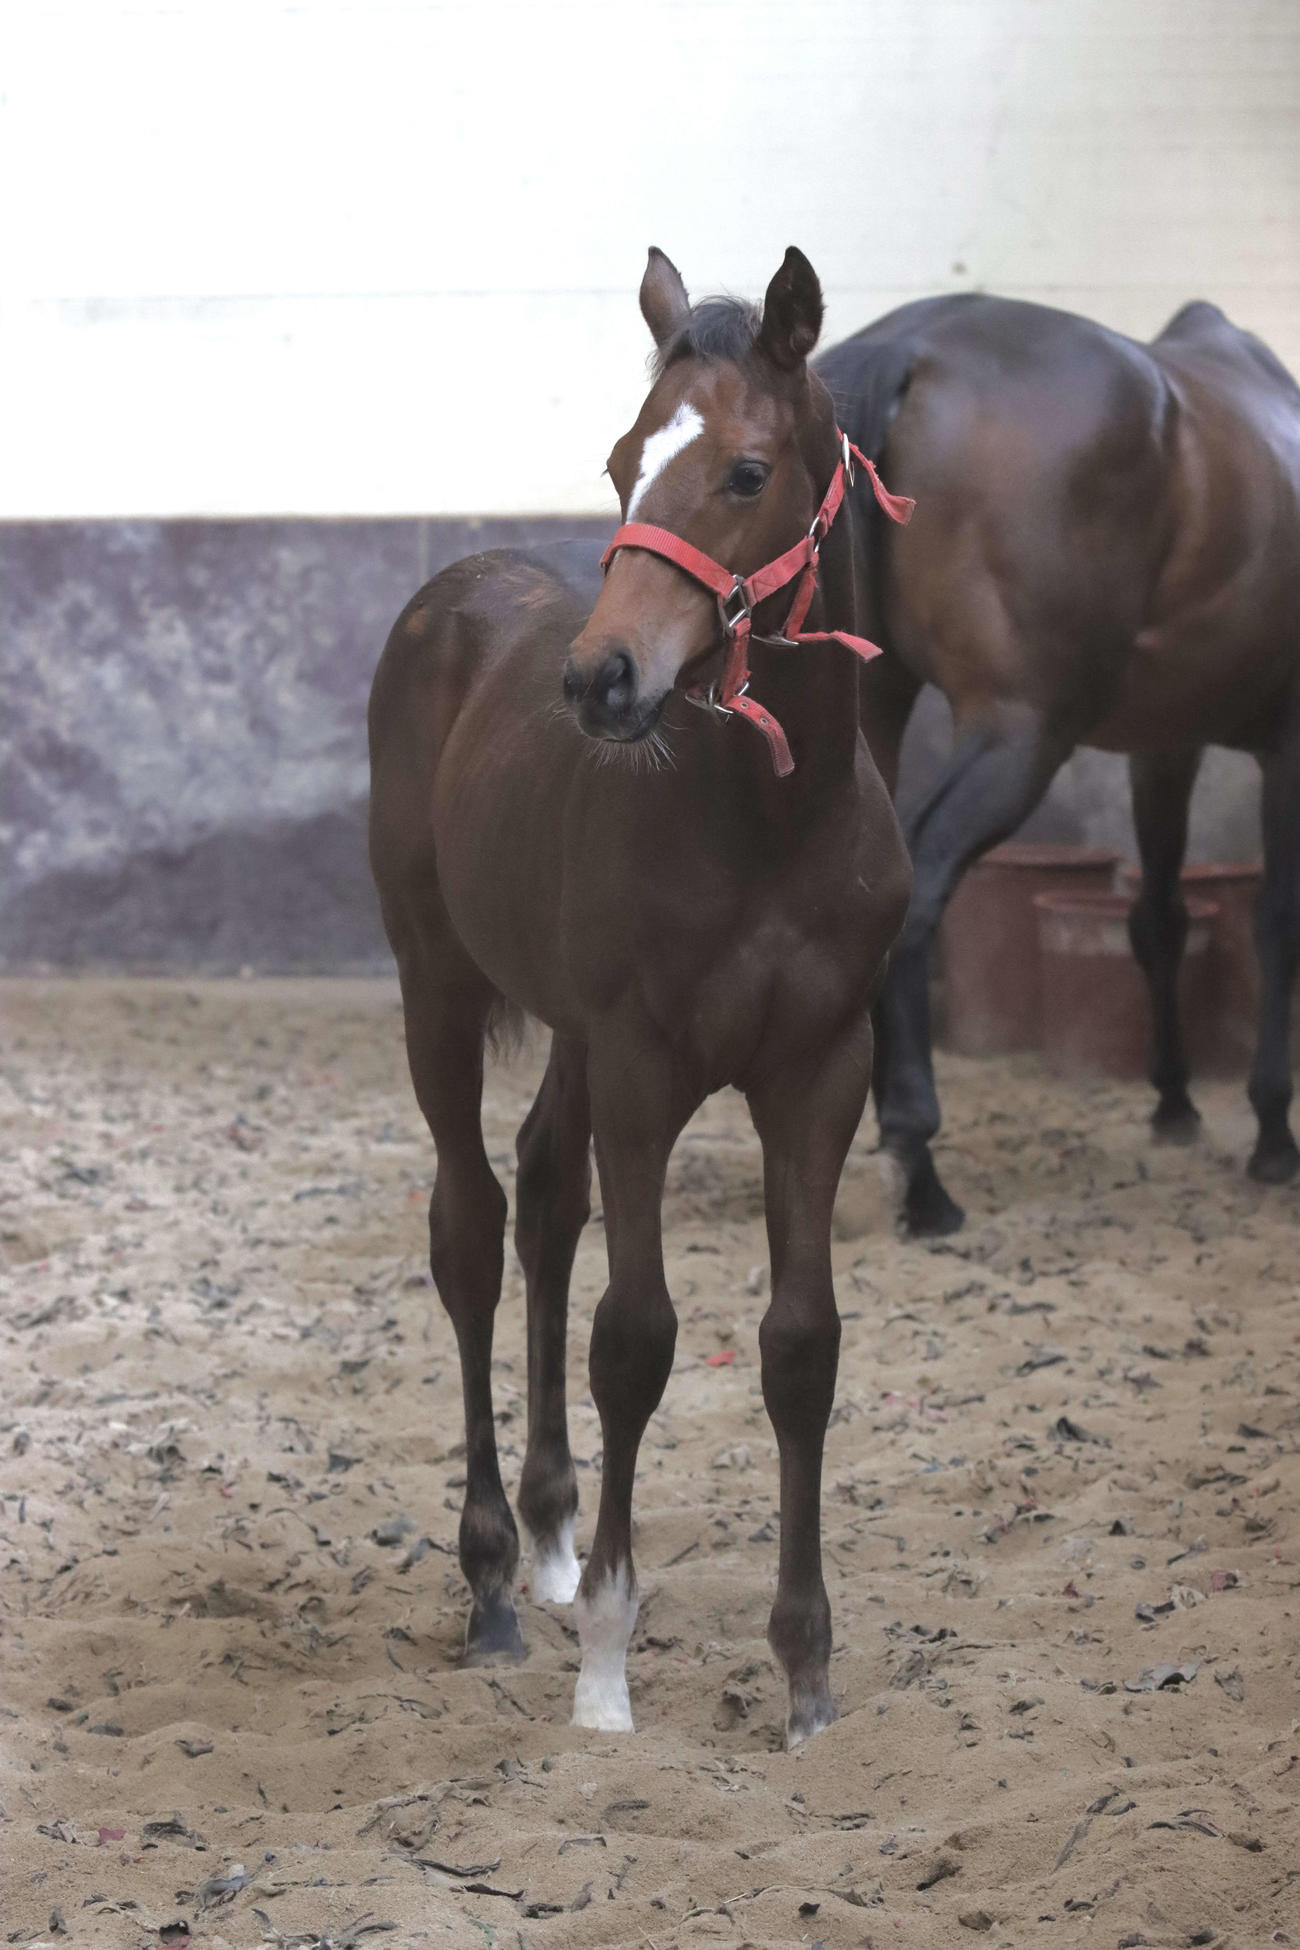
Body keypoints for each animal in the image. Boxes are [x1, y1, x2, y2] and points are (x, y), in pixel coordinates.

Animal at [367, 247, 912, 1744]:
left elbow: (800, 1345)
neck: (770, 819)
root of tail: (453, 589)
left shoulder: (819, 1071)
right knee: (474, 1226)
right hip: (437, 982)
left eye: (744, 471)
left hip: (564, 1026)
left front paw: (807, 1675)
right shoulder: (646, 1066)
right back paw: (499, 1583)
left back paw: (552, 1539)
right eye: (623, 461)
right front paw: (608, 1668)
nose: (598, 680)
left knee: (548, 1194)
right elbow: (639, 1338)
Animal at [814, 292, 1300, 1236]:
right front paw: (1271, 1135)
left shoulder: (1163, 747)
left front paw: (1175, 1103)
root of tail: (913, 343)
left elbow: (1160, 919)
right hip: (1022, 735)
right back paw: (919, 1169)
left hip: (877, 712)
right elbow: (1275, 923)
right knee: (918, 884)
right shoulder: (1290, 744)